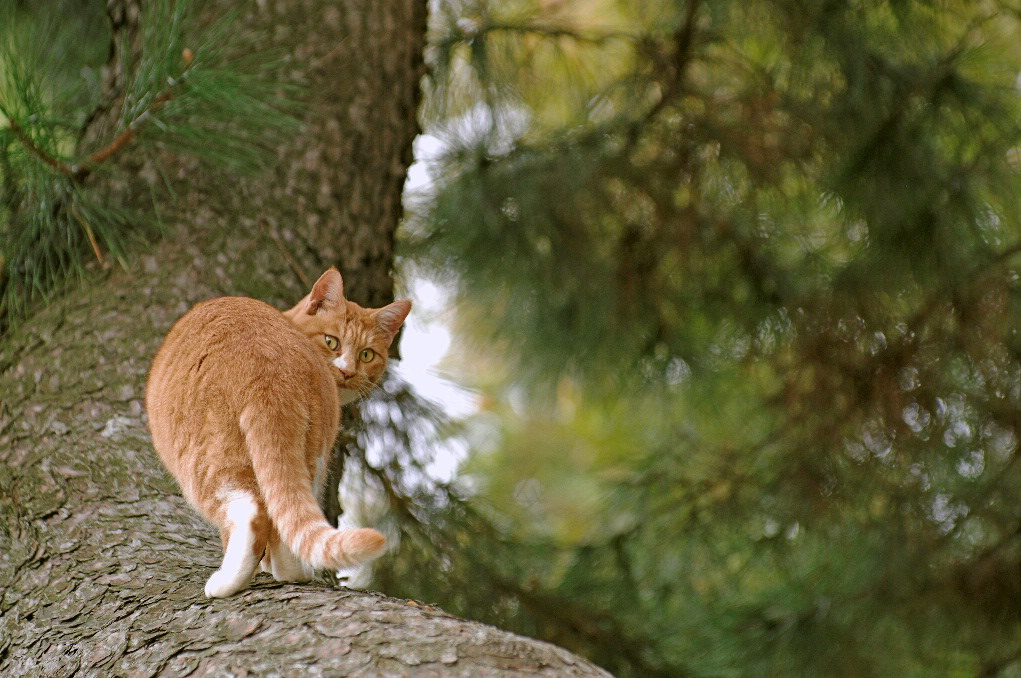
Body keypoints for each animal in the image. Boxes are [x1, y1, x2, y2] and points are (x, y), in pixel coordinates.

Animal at [146, 267, 408, 596]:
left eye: (366, 355)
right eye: (332, 341)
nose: (348, 371)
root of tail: (266, 365)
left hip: (204, 459)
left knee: (249, 513)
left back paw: (228, 581)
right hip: (311, 452)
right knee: (287, 515)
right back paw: (294, 572)